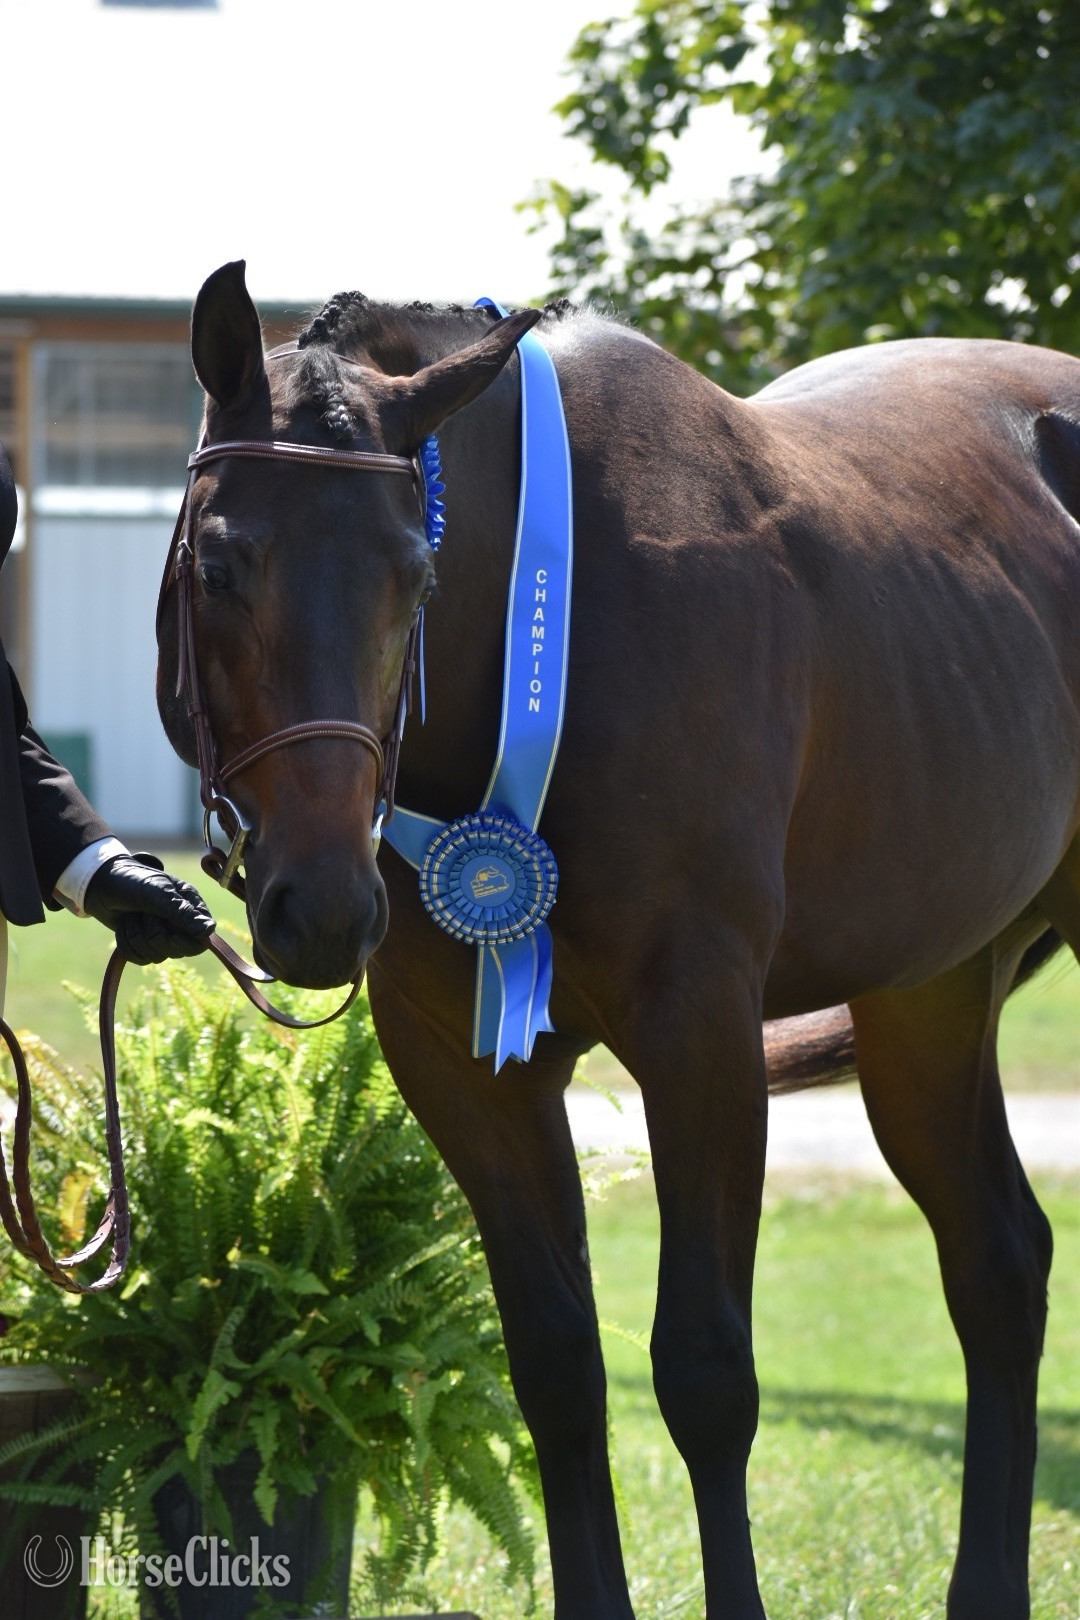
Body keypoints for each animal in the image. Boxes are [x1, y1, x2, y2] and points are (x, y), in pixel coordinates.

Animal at [156, 259, 1080, 1620]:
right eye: (219, 566)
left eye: (415, 575)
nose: (320, 907)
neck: (563, 619)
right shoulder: (469, 1067)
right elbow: (558, 1372)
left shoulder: (700, 1034)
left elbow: (704, 1376)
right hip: (930, 996)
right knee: (999, 1264)